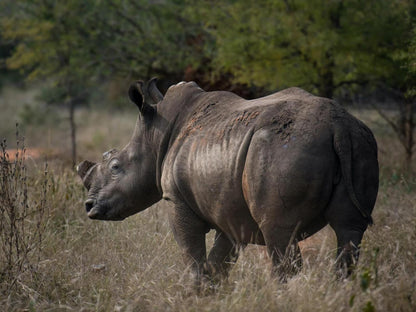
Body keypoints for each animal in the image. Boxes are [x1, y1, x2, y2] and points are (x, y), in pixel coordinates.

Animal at [78, 78, 380, 282]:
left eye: (115, 166)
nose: (89, 206)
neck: (156, 135)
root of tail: (337, 124)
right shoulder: (229, 208)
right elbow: (219, 260)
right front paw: (212, 292)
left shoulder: (176, 199)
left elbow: (192, 254)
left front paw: (195, 294)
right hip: (361, 141)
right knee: (349, 230)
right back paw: (342, 289)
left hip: (286, 148)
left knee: (279, 233)